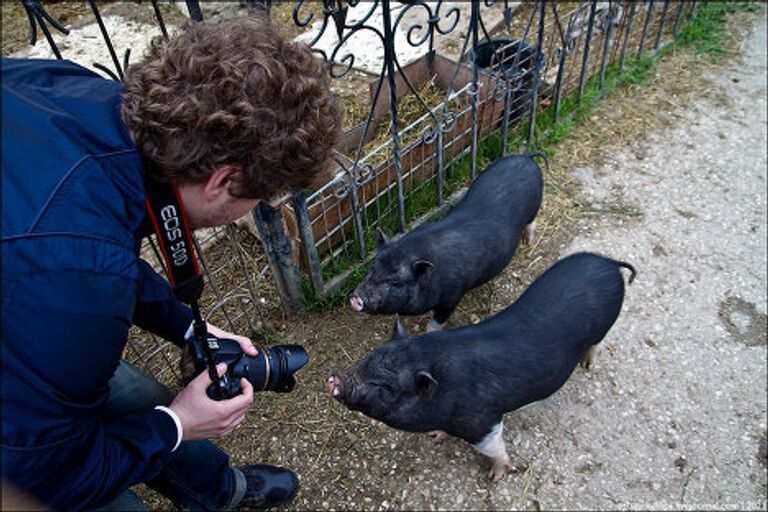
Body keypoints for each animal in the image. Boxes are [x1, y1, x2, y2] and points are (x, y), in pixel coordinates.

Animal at [330, 252, 636, 480]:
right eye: (367, 358)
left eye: (386, 387)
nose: (335, 379)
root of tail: (609, 263)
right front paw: (436, 437)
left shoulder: (482, 421)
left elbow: (494, 447)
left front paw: (496, 477)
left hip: (605, 326)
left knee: (596, 344)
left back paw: (588, 366)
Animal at [352, 154, 544, 330]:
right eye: (372, 268)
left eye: (396, 283)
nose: (356, 298)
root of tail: (527, 158)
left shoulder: (453, 295)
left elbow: (437, 321)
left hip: (535, 206)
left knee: (532, 222)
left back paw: (528, 242)